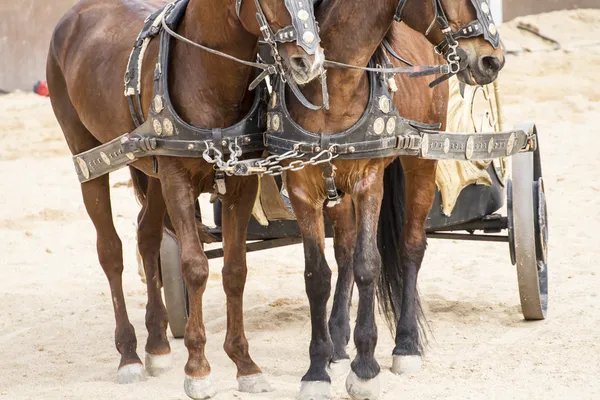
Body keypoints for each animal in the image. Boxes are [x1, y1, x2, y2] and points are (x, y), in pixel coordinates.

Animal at [47, 0, 324, 396]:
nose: (309, 61)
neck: (208, 74)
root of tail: (75, 15)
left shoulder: (241, 183)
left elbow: (235, 271)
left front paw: (244, 364)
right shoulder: (177, 180)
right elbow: (194, 267)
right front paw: (198, 368)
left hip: (153, 173)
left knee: (147, 236)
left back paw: (157, 345)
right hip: (87, 157)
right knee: (110, 251)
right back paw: (129, 354)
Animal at [282, 0, 506, 400]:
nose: (492, 60)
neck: (333, 89)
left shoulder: (370, 181)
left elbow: (368, 264)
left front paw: (365, 368)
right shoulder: (303, 186)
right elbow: (317, 275)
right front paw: (317, 368)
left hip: (422, 162)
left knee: (410, 247)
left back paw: (406, 344)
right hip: (337, 190)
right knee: (344, 249)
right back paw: (338, 340)